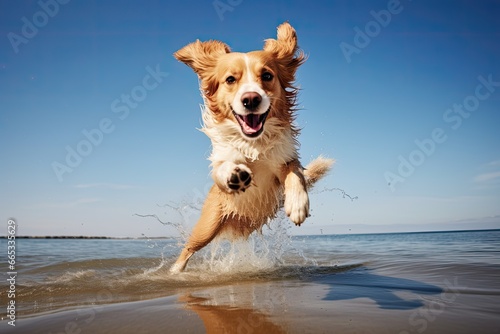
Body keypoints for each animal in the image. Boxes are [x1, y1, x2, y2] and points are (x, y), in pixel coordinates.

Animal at [170, 20, 334, 272]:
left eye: (267, 75)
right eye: (230, 79)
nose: (251, 99)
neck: (254, 143)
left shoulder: (284, 161)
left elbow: (295, 174)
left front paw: (298, 204)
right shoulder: (221, 160)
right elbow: (223, 167)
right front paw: (235, 175)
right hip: (207, 226)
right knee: (188, 249)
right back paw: (174, 271)